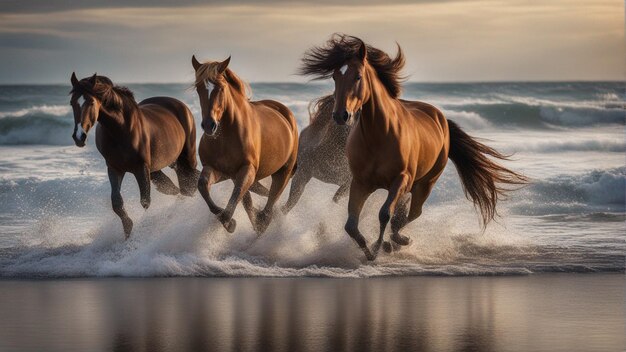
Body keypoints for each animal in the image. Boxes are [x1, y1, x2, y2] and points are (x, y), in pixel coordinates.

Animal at [69, 73, 199, 239]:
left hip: (187, 156)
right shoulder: (114, 168)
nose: (79, 137)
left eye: (91, 102)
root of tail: (180, 105)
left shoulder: (141, 168)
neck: (120, 130)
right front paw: (128, 231)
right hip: (168, 163)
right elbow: (117, 202)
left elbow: (145, 202)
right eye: (72, 102)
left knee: (189, 182)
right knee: (178, 186)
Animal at [190, 55, 298, 234]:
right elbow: (203, 185)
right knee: (254, 200)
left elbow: (235, 200)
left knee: (270, 202)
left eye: (221, 88)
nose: (209, 125)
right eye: (199, 88)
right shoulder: (219, 170)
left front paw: (230, 223)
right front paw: (227, 220)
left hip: (283, 172)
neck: (225, 137)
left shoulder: (247, 169)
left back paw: (262, 222)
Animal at [300, 35, 524, 262]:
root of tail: (441, 118)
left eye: (358, 77)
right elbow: (351, 225)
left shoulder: (400, 180)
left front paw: (378, 247)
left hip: (424, 184)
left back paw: (399, 240)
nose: (340, 115)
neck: (379, 136)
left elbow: (384, 214)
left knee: (413, 213)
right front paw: (369, 252)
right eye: (335, 77)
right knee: (403, 213)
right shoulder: (360, 183)